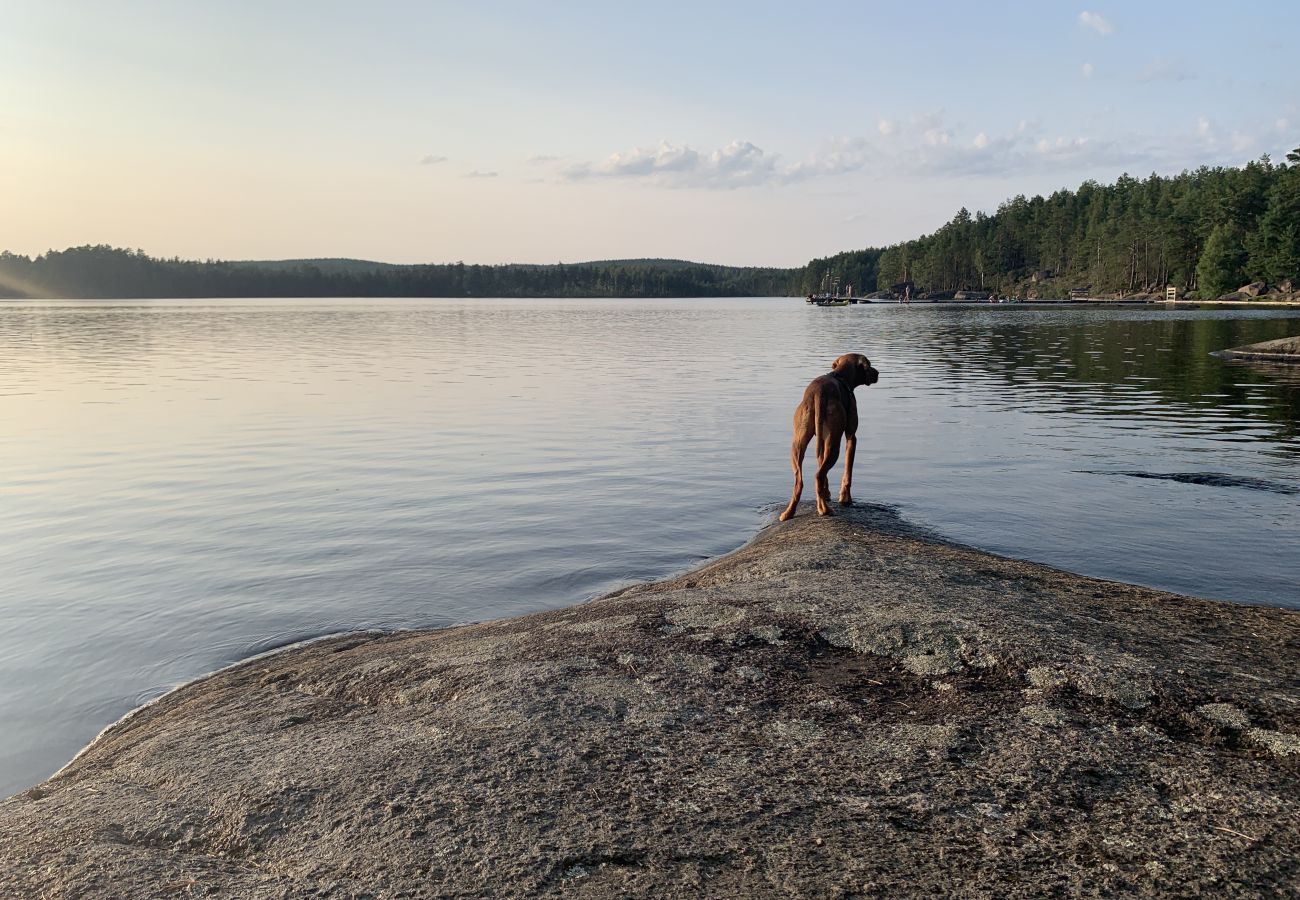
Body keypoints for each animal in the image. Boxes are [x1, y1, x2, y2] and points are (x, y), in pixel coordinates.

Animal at [774, 351, 878, 520]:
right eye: (869, 365)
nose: (878, 373)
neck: (841, 376)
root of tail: (818, 393)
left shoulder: (822, 440)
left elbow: (820, 465)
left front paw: (826, 493)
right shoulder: (851, 437)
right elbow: (848, 472)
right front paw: (845, 498)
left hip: (799, 444)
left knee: (801, 480)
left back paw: (789, 512)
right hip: (835, 444)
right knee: (818, 475)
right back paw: (825, 510)